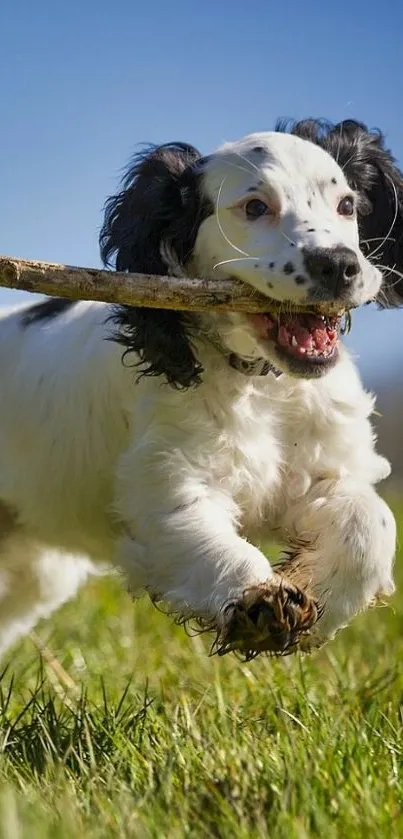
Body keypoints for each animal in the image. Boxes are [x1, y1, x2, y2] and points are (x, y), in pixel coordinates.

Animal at [0, 120, 402, 664]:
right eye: (255, 207)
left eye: (346, 205)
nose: (340, 265)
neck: (260, 383)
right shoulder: (167, 479)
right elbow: (201, 534)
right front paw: (260, 601)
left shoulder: (326, 470)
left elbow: (372, 522)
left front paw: (322, 597)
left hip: (34, 570)